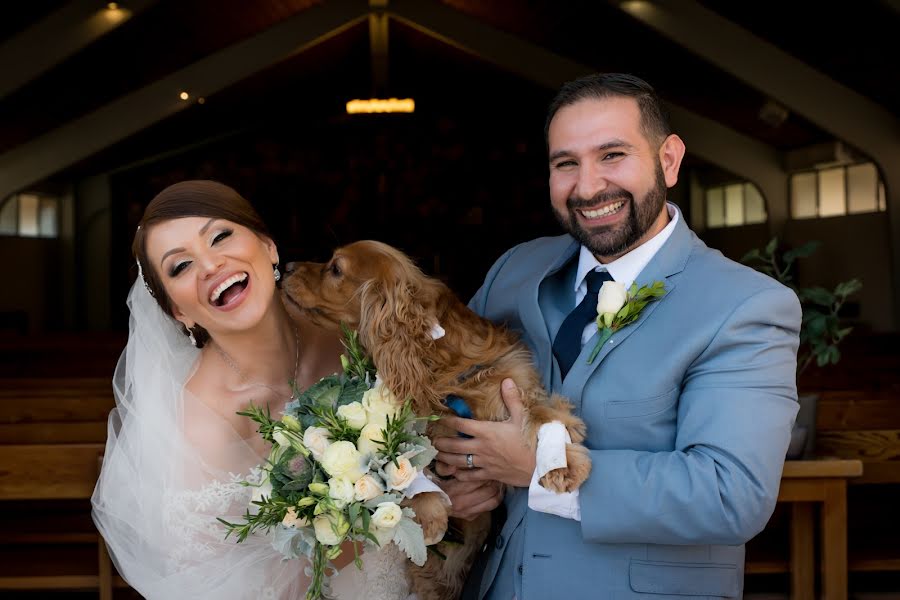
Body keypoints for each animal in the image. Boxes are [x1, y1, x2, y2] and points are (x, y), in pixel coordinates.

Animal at [284, 239, 592, 600]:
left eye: (335, 269)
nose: (286, 266)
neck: (434, 358)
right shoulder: (409, 421)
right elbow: (407, 465)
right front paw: (428, 512)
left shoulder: (512, 383)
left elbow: (541, 416)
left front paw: (562, 463)